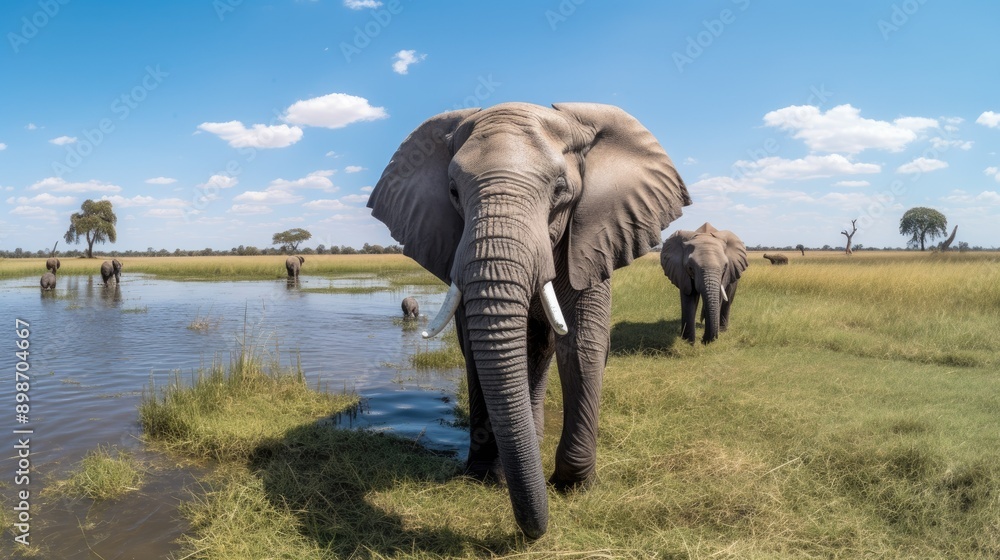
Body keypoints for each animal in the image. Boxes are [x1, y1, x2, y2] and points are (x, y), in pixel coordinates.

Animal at [367, 102, 690, 537]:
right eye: (453, 192)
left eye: (560, 191)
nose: (532, 533)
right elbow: (476, 349)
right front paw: (485, 477)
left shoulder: (592, 239)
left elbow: (582, 344)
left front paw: (573, 485)